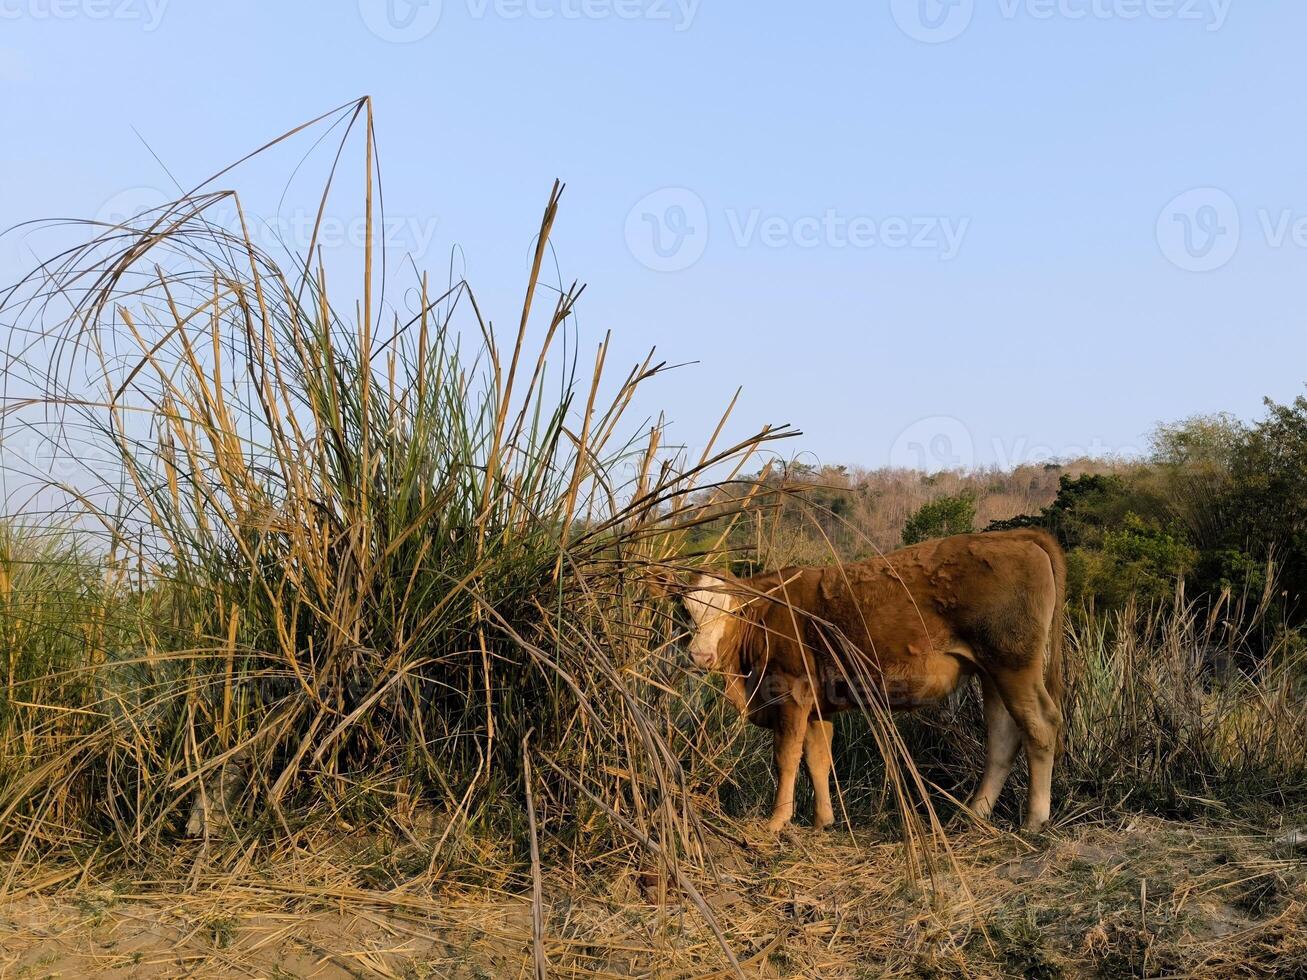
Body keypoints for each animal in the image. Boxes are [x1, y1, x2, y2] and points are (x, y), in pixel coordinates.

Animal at [679, 533, 1066, 831]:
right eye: (686, 611)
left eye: (733, 611)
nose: (700, 656)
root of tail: (1014, 537)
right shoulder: (817, 705)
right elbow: (817, 758)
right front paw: (823, 821)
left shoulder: (791, 695)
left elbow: (786, 758)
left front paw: (776, 821)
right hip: (992, 673)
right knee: (1003, 738)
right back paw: (973, 814)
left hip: (1013, 665)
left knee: (1040, 726)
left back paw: (1034, 820)